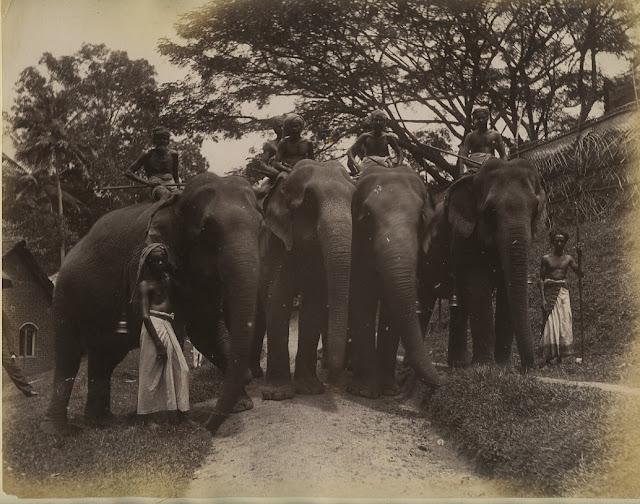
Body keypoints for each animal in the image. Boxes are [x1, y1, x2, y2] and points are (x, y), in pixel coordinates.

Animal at [39, 172, 262, 434]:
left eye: (261, 225)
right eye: (206, 231)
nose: (207, 427)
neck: (177, 202)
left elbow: (206, 331)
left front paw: (242, 404)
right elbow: (181, 331)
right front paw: (174, 419)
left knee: (105, 357)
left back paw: (103, 422)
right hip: (65, 298)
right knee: (69, 356)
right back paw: (57, 431)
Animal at [262, 159, 358, 400]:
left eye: (355, 203)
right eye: (310, 204)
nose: (334, 382)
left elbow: (314, 305)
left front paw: (310, 390)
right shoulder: (277, 244)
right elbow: (277, 299)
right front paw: (277, 395)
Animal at [344, 161, 444, 398]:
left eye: (421, 218)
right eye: (367, 216)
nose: (441, 384)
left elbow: (393, 309)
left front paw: (389, 390)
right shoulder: (358, 245)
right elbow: (363, 297)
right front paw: (366, 392)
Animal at [424, 156, 544, 368]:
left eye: (535, 209)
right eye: (490, 211)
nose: (526, 367)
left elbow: (506, 288)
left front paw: (504, 367)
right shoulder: (465, 237)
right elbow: (478, 287)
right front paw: (486, 367)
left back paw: (458, 365)